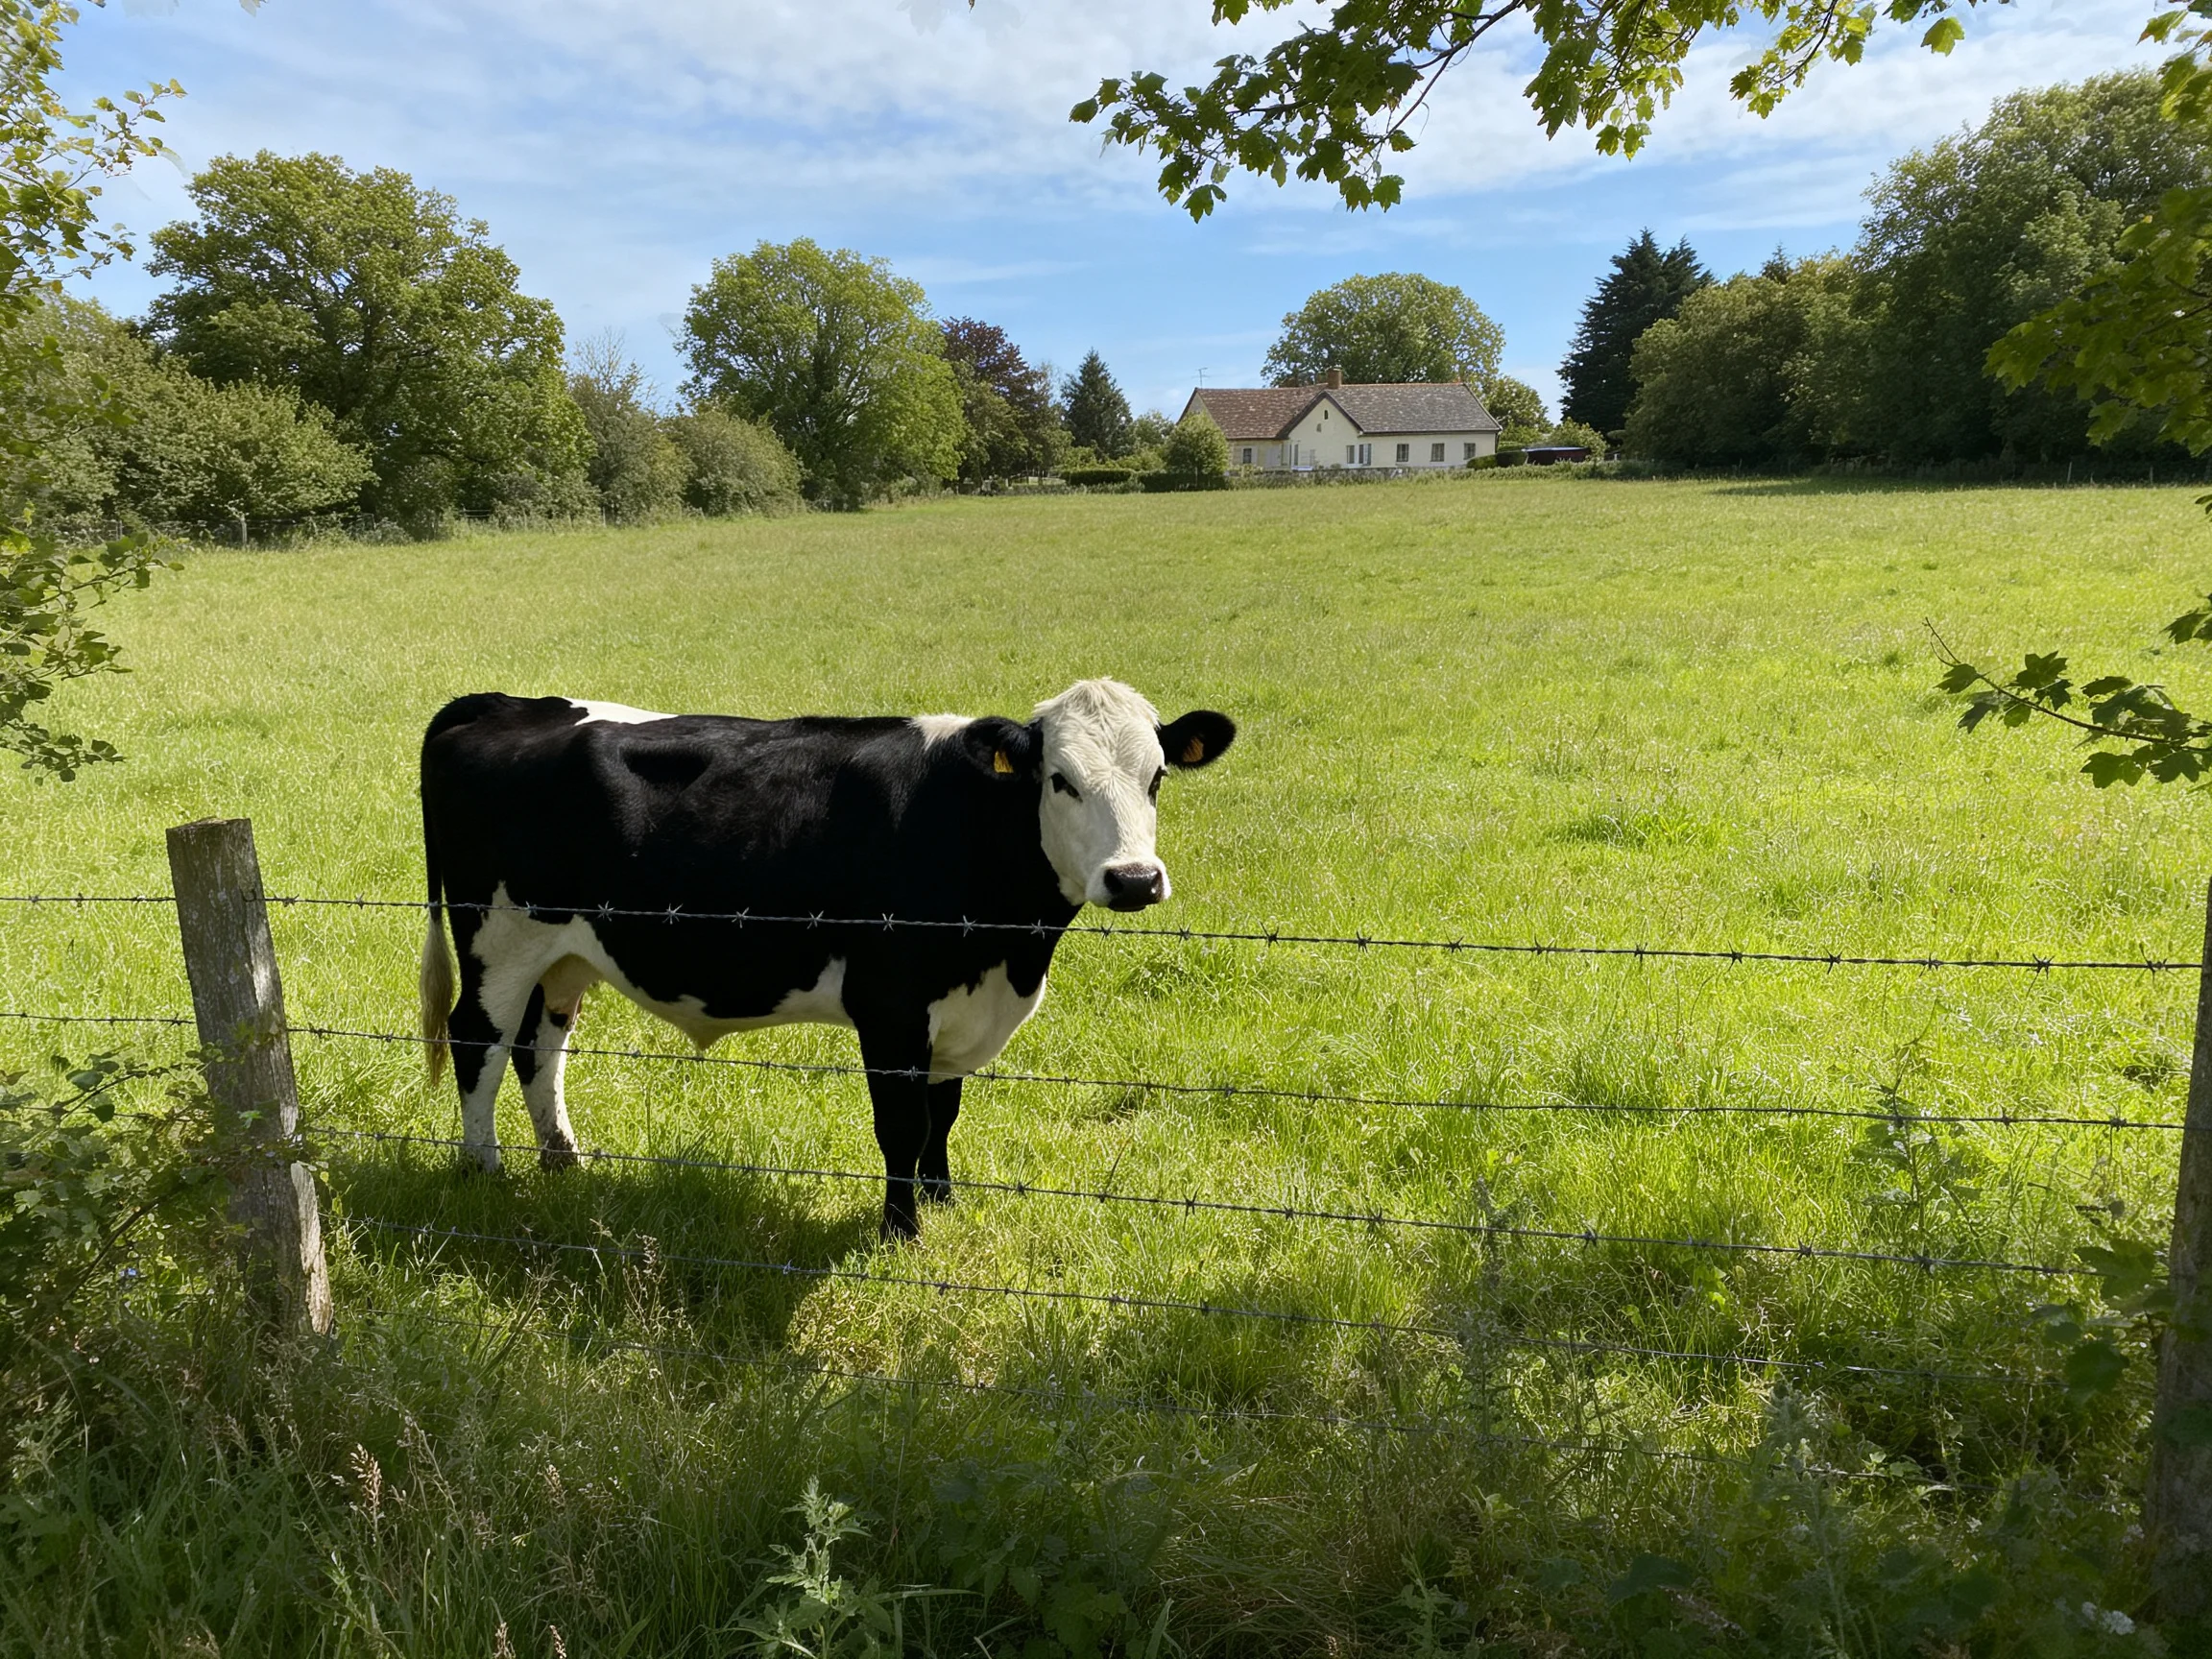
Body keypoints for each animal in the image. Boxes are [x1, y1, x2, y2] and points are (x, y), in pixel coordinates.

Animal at [417, 678, 1235, 1239]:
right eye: (1059, 781)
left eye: (1157, 777)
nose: (1134, 879)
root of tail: (505, 703)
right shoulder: (892, 1004)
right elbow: (902, 1123)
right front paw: (900, 1232)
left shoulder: (956, 1007)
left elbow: (944, 1113)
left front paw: (941, 1201)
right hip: (499, 937)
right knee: (478, 1040)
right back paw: (485, 1170)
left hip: (563, 954)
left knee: (539, 1046)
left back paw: (562, 1161)